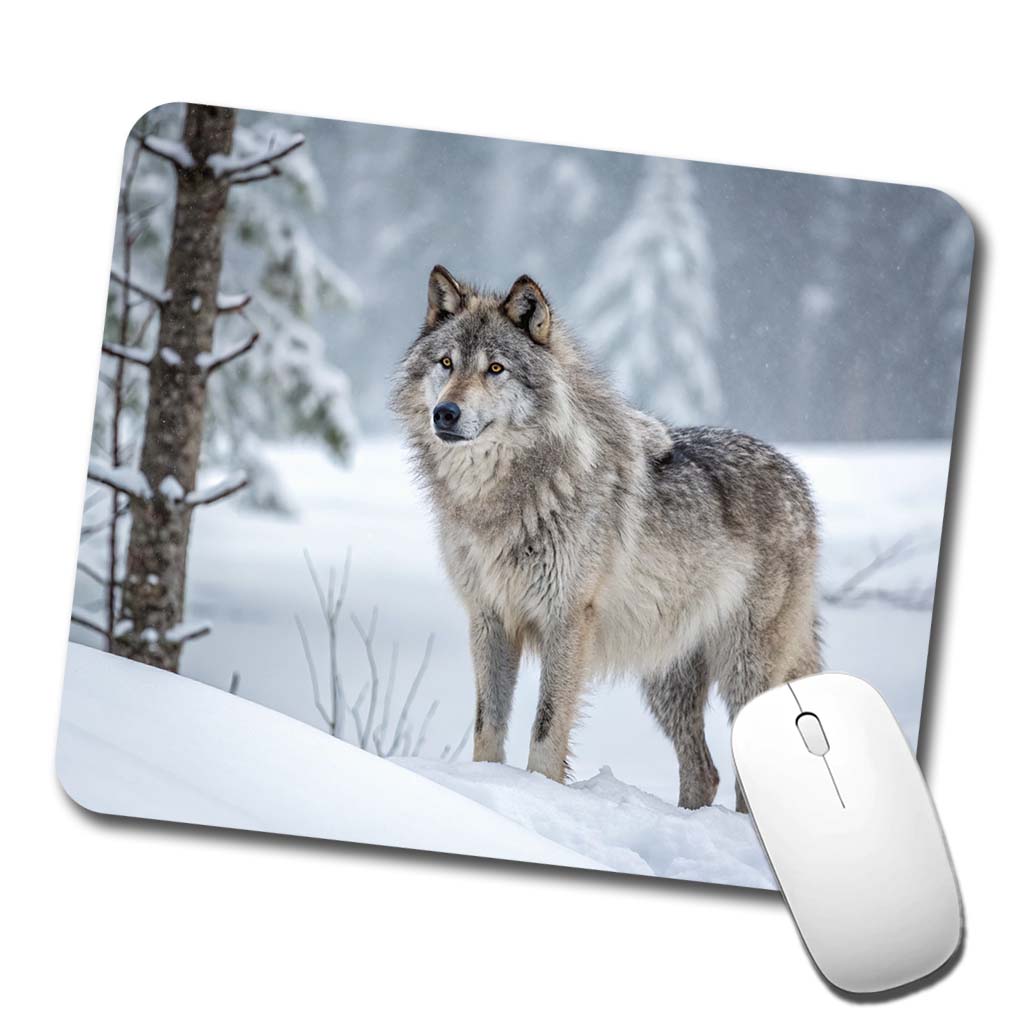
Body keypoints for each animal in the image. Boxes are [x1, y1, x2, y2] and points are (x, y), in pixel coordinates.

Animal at [391, 266, 821, 811]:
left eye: (496, 368)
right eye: (446, 363)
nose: (445, 413)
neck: (503, 500)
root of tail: (796, 477)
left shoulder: (567, 619)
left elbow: (546, 729)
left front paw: (540, 797)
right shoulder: (489, 619)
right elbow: (487, 728)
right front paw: (484, 788)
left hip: (745, 670)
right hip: (666, 680)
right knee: (704, 773)